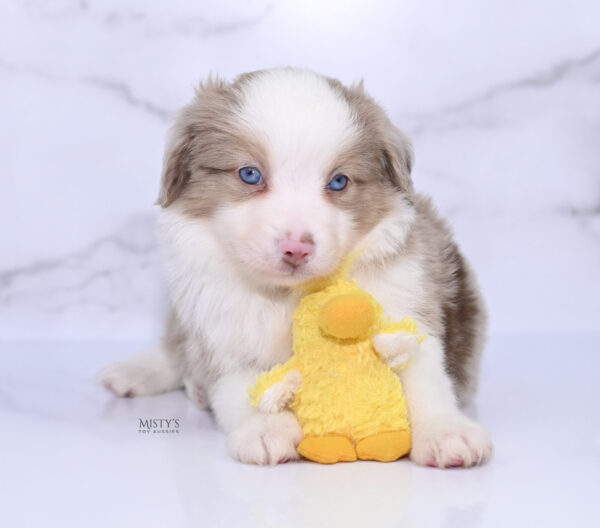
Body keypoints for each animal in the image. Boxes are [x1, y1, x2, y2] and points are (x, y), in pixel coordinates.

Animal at [98, 68, 492, 468]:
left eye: (339, 181)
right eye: (250, 174)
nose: (296, 248)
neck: (287, 294)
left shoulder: (404, 297)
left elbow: (423, 374)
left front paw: (446, 432)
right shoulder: (219, 321)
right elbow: (238, 379)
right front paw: (265, 430)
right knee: (175, 344)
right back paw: (137, 373)